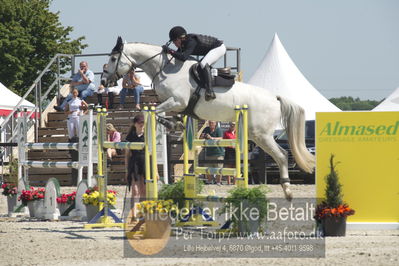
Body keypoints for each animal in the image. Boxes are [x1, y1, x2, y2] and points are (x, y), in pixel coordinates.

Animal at [102, 37, 316, 200]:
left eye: (113, 58)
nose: (104, 80)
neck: (164, 69)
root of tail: (275, 98)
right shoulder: (178, 105)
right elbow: (164, 113)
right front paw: (175, 124)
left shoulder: (177, 101)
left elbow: (153, 111)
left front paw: (169, 123)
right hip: (256, 135)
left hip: (261, 135)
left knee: (281, 155)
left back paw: (287, 191)